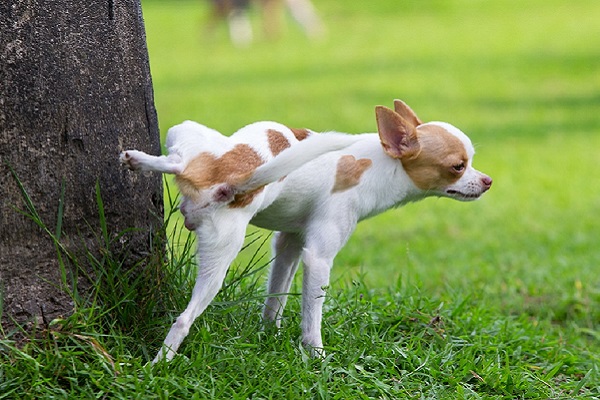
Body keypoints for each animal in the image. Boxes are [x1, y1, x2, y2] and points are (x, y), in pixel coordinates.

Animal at [120, 100, 492, 362]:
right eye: (458, 166)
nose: (487, 181)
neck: (378, 164)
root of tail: (230, 179)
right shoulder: (318, 258)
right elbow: (312, 318)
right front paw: (317, 358)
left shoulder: (289, 244)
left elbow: (276, 297)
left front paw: (268, 335)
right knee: (183, 319)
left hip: (193, 155)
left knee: (178, 162)